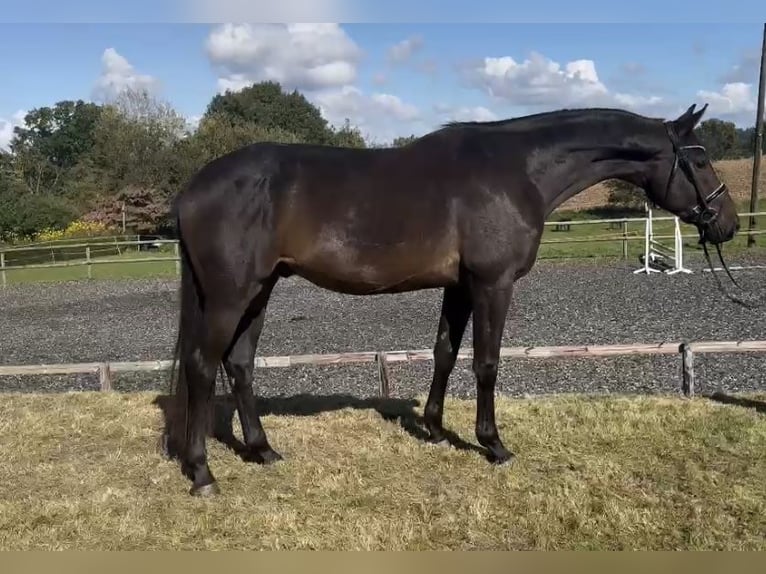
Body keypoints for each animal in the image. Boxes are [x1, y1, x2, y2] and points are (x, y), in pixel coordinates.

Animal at [165, 101, 740, 498]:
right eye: (700, 161)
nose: (729, 224)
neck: (518, 171)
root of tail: (193, 186)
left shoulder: (460, 286)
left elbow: (444, 352)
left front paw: (437, 430)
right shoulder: (493, 283)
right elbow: (486, 363)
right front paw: (493, 444)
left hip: (260, 290)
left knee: (239, 364)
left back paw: (262, 451)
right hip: (230, 295)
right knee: (202, 365)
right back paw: (202, 472)